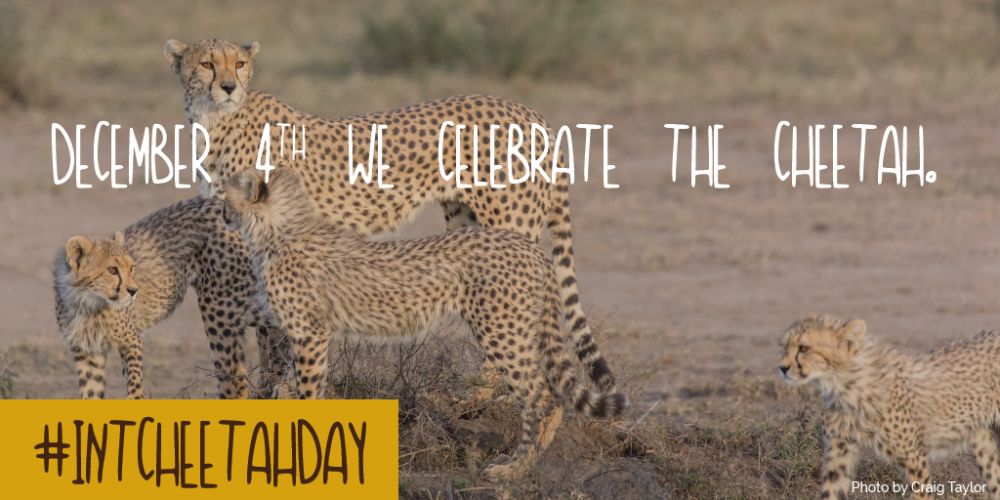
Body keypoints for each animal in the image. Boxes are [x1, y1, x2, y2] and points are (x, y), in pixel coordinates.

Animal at [54, 196, 286, 399]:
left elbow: (134, 382)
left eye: (131, 267)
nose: (133, 290)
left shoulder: (131, 339)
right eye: (112, 270)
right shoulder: (87, 353)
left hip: (220, 306)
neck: (87, 303)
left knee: (235, 376)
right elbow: (91, 392)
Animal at [162, 38, 616, 395]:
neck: (215, 120)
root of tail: (529, 112)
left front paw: (271, 390)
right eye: (207, 63)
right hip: (466, 223)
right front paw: (270, 389)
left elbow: (271, 336)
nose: (228, 86)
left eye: (238, 63)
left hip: (507, 227)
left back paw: (484, 395)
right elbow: (270, 331)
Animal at [221, 167, 628, 479]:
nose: (222, 213)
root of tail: (532, 247)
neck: (279, 229)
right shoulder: (307, 333)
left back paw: (515, 468)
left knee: (537, 394)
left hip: (501, 330)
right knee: (555, 390)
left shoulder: (310, 332)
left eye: (227, 199)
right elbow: (289, 386)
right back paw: (535, 455)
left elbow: (305, 390)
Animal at [779, 314, 1000, 500]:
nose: (782, 368)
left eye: (804, 348)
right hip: (984, 442)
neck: (844, 384)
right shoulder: (839, 454)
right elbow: (831, 491)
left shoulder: (914, 457)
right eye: (784, 347)